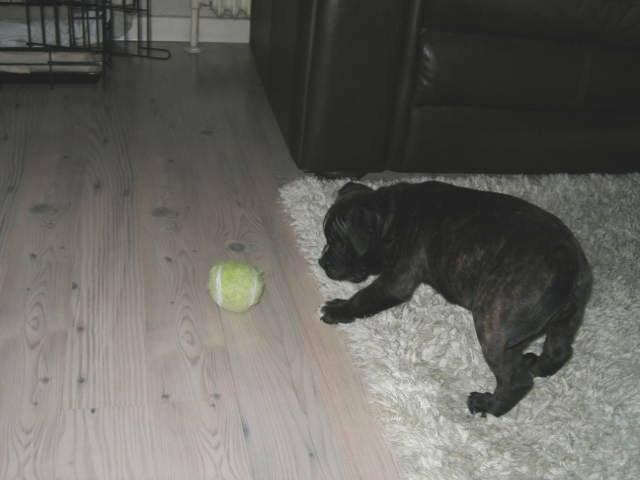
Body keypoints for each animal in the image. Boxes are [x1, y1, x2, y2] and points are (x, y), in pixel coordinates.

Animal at [318, 180, 592, 416]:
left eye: (337, 242)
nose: (322, 262)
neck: (390, 216)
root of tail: (571, 268)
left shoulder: (396, 281)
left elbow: (364, 298)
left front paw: (338, 309)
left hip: (494, 328)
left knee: (516, 380)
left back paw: (488, 405)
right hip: (568, 318)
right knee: (559, 350)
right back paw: (535, 365)